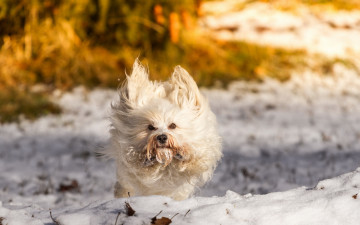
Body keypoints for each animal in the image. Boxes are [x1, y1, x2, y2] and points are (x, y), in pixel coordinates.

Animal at [104, 60, 221, 200]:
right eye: (150, 127)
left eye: (173, 125)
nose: (161, 137)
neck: (165, 164)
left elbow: (193, 160)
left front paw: (183, 156)